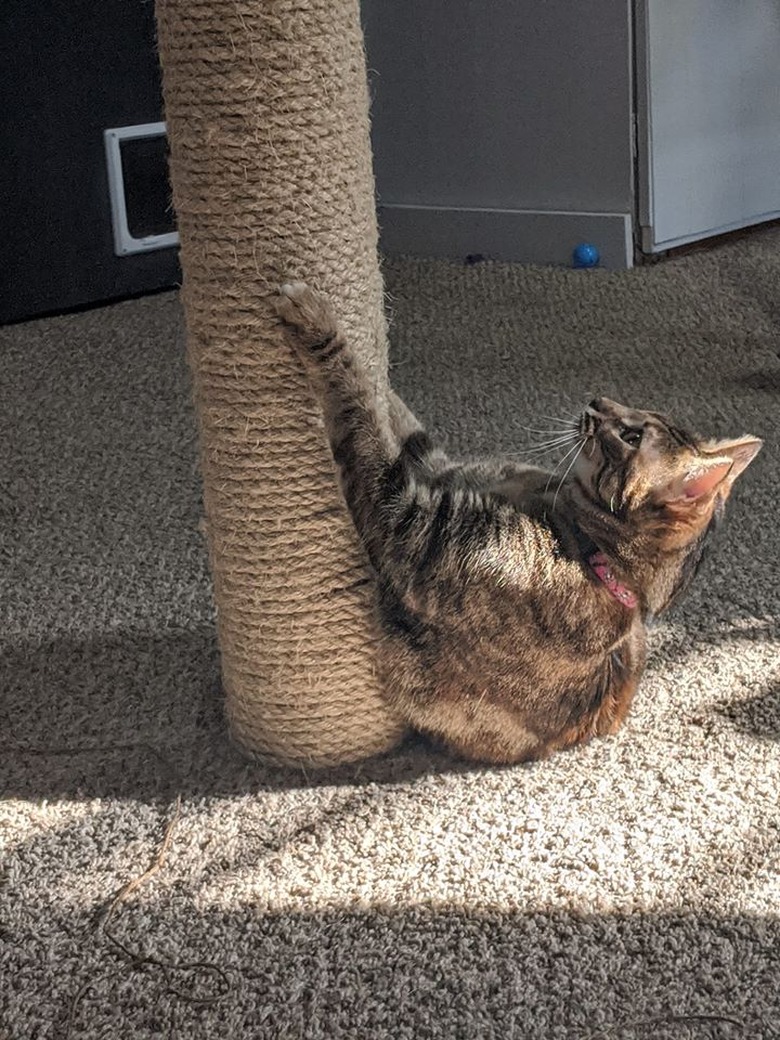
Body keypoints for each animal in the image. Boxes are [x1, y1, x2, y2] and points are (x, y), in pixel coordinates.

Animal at [274, 284, 765, 765]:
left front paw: (315, 317)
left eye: (631, 436)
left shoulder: (410, 527)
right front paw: (384, 374)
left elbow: (362, 421)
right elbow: (405, 425)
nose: (597, 399)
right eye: (636, 413)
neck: (586, 545)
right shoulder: (443, 471)